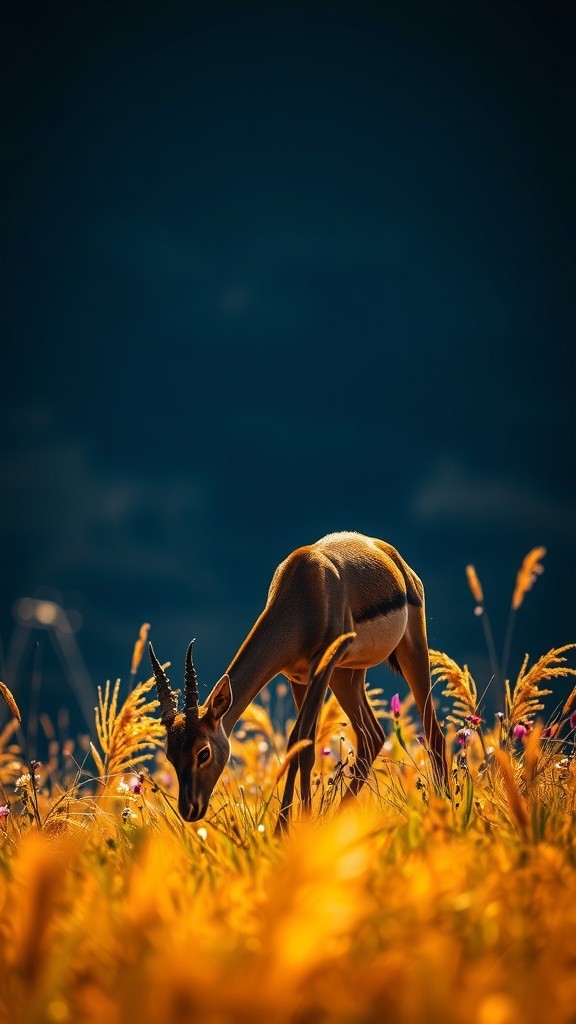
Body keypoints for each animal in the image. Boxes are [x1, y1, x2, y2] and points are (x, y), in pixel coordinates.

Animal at [149, 531, 447, 832]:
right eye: (171, 754)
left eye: (203, 753)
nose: (189, 809)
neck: (307, 589)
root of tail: (391, 555)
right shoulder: (298, 677)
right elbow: (303, 744)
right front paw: (301, 822)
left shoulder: (321, 667)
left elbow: (300, 740)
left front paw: (284, 827)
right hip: (346, 675)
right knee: (372, 736)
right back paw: (339, 817)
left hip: (411, 652)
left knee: (434, 733)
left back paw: (444, 805)